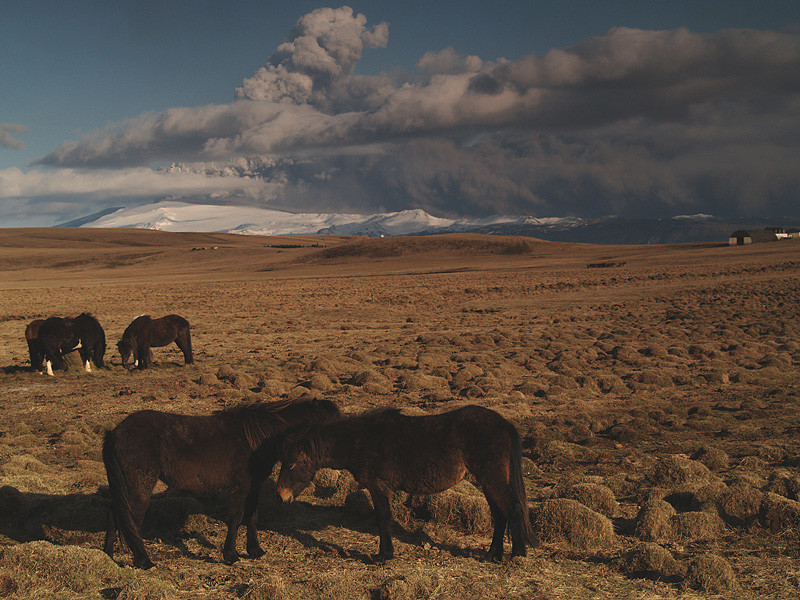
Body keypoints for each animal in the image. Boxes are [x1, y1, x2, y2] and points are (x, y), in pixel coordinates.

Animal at [101, 398, 340, 568]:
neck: (258, 439)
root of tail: (114, 432)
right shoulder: (241, 487)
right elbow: (235, 519)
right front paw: (231, 555)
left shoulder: (255, 487)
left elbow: (251, 517)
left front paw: (255, 551)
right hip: (139, 486)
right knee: (131, 519)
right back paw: (143, 561)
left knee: (114, 513)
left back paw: (108, 555)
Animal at [276, 404, 536, 564]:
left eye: (291, 464)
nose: (281, 496)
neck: (361, 440)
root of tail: (504, 423)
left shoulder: (379, 486)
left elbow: (383, 517)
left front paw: (383, 555)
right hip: (488, 480)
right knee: (500, 514)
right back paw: (492, 555)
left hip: (491, 478)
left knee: (512, 509)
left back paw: (517, 554)